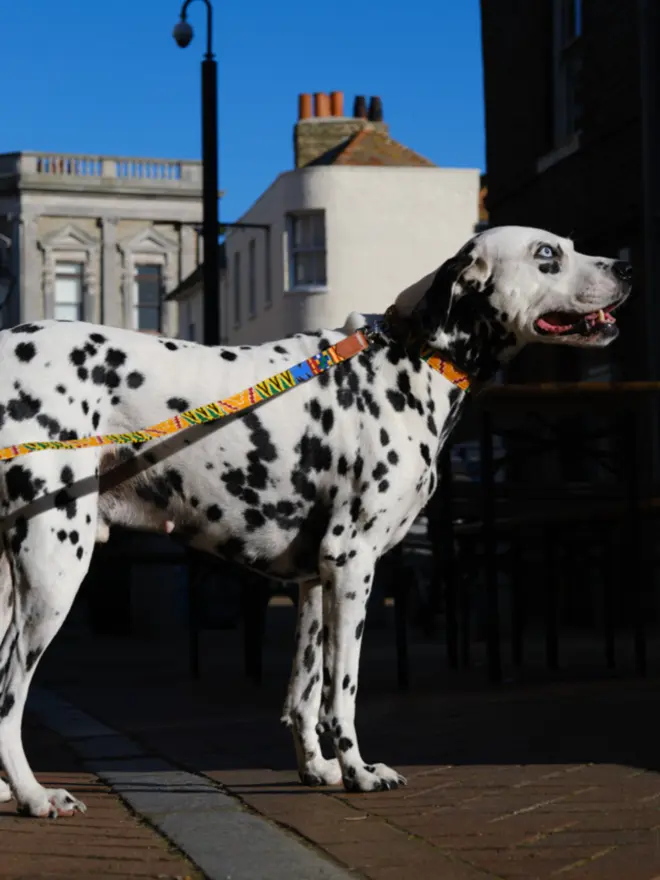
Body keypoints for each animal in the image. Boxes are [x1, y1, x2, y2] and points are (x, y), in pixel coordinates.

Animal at [0, 223, 632, 816]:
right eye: (547, 255)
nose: (625, 266)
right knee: (9, 694)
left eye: (570, 244)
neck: (408, 360)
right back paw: (33, 794)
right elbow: (341, 694)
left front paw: (319, 769)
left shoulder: (313, 582)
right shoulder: (352, 567)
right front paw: (359, 772)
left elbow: (303, 695)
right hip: (54, 573)